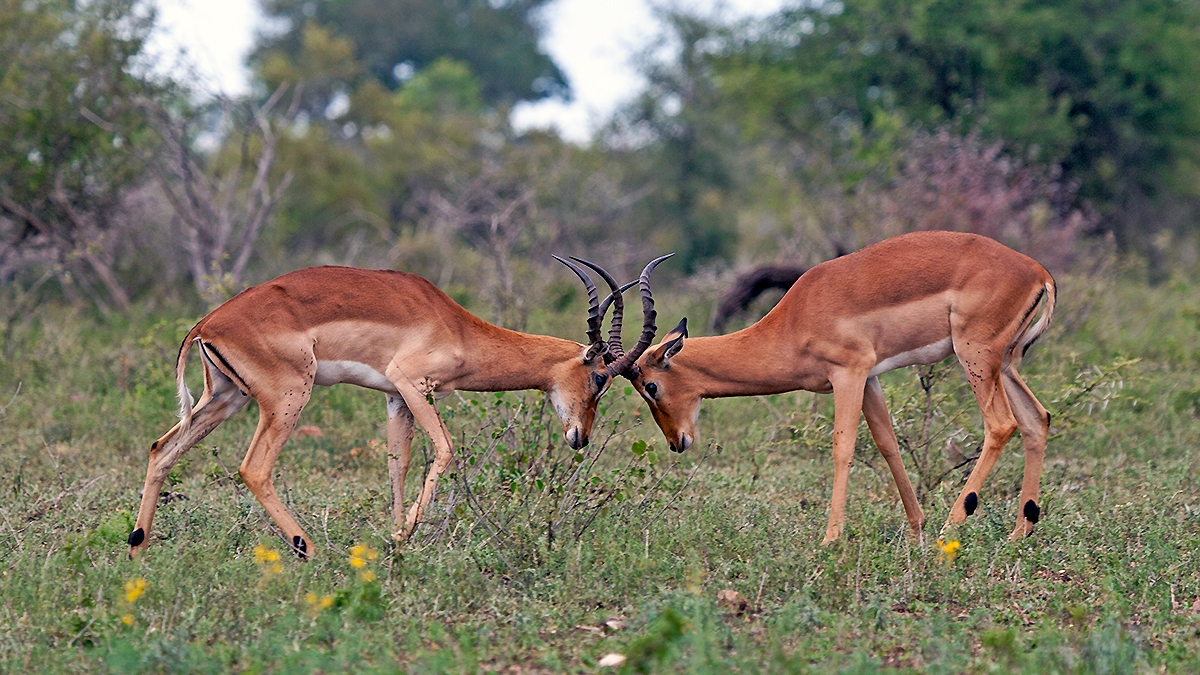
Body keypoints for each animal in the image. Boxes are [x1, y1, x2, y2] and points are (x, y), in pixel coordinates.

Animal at [128, 258, 668, 559]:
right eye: (600, 378)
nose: (581, 436)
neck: (455, 326)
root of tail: (206, 324)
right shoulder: (414, 385)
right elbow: (445, 451)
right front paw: (404, 536)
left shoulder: (394, 398)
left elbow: (397, 464)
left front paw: (393, 538)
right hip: (286, 399)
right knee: (254, 468)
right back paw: (308, 550)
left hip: (225, 398)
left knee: (161, 449)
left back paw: (138, 552)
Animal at [622, 231, 1056, 543]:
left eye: (651, 386)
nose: (677, 441)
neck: (794, 320)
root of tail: (1039, 271)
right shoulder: (871, 378)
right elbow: (887, 444)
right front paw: (916, 529)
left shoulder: (847, 374)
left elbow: (842, 448)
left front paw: (830, 540)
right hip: (1004, 362)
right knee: (1037, 419)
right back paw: (1019, 533)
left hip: (976, 356)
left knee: (1001, 425)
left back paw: (952, 526)